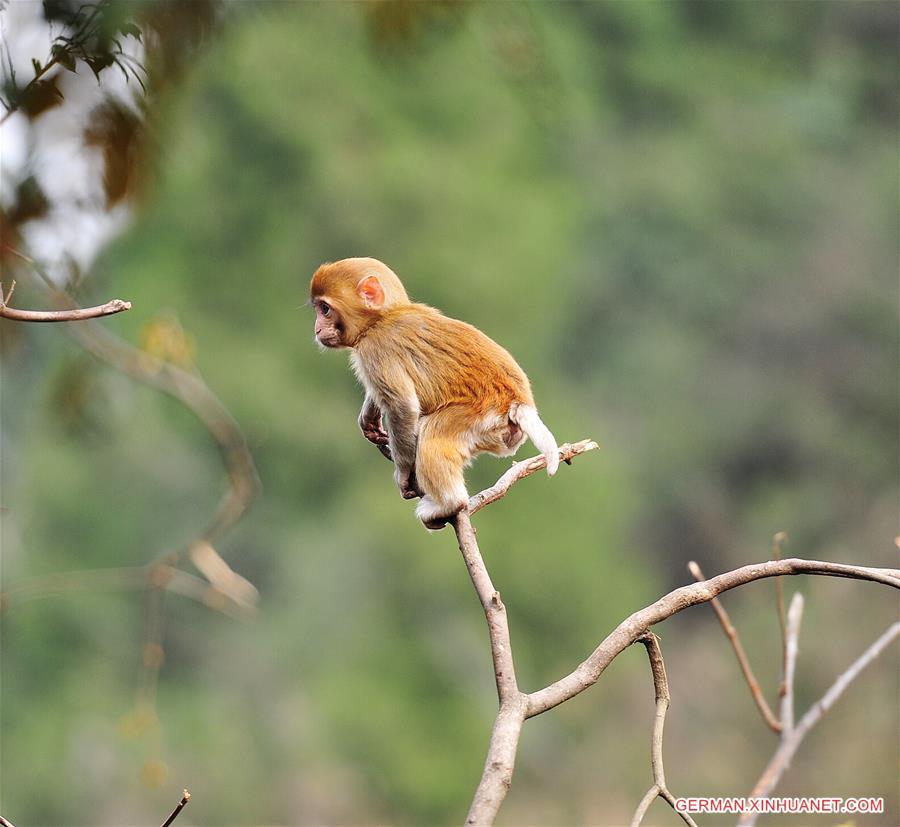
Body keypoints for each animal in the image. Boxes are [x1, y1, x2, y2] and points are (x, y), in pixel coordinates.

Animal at [312, 258, 560, 528]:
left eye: (325, 309)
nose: (317, 329)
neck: (383, 317)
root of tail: (519, 403)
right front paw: (369, 418)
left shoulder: (376, 349)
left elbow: (402, 405)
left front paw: (403, 474)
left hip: (481, 417)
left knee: (433, 433)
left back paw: (450, 505)